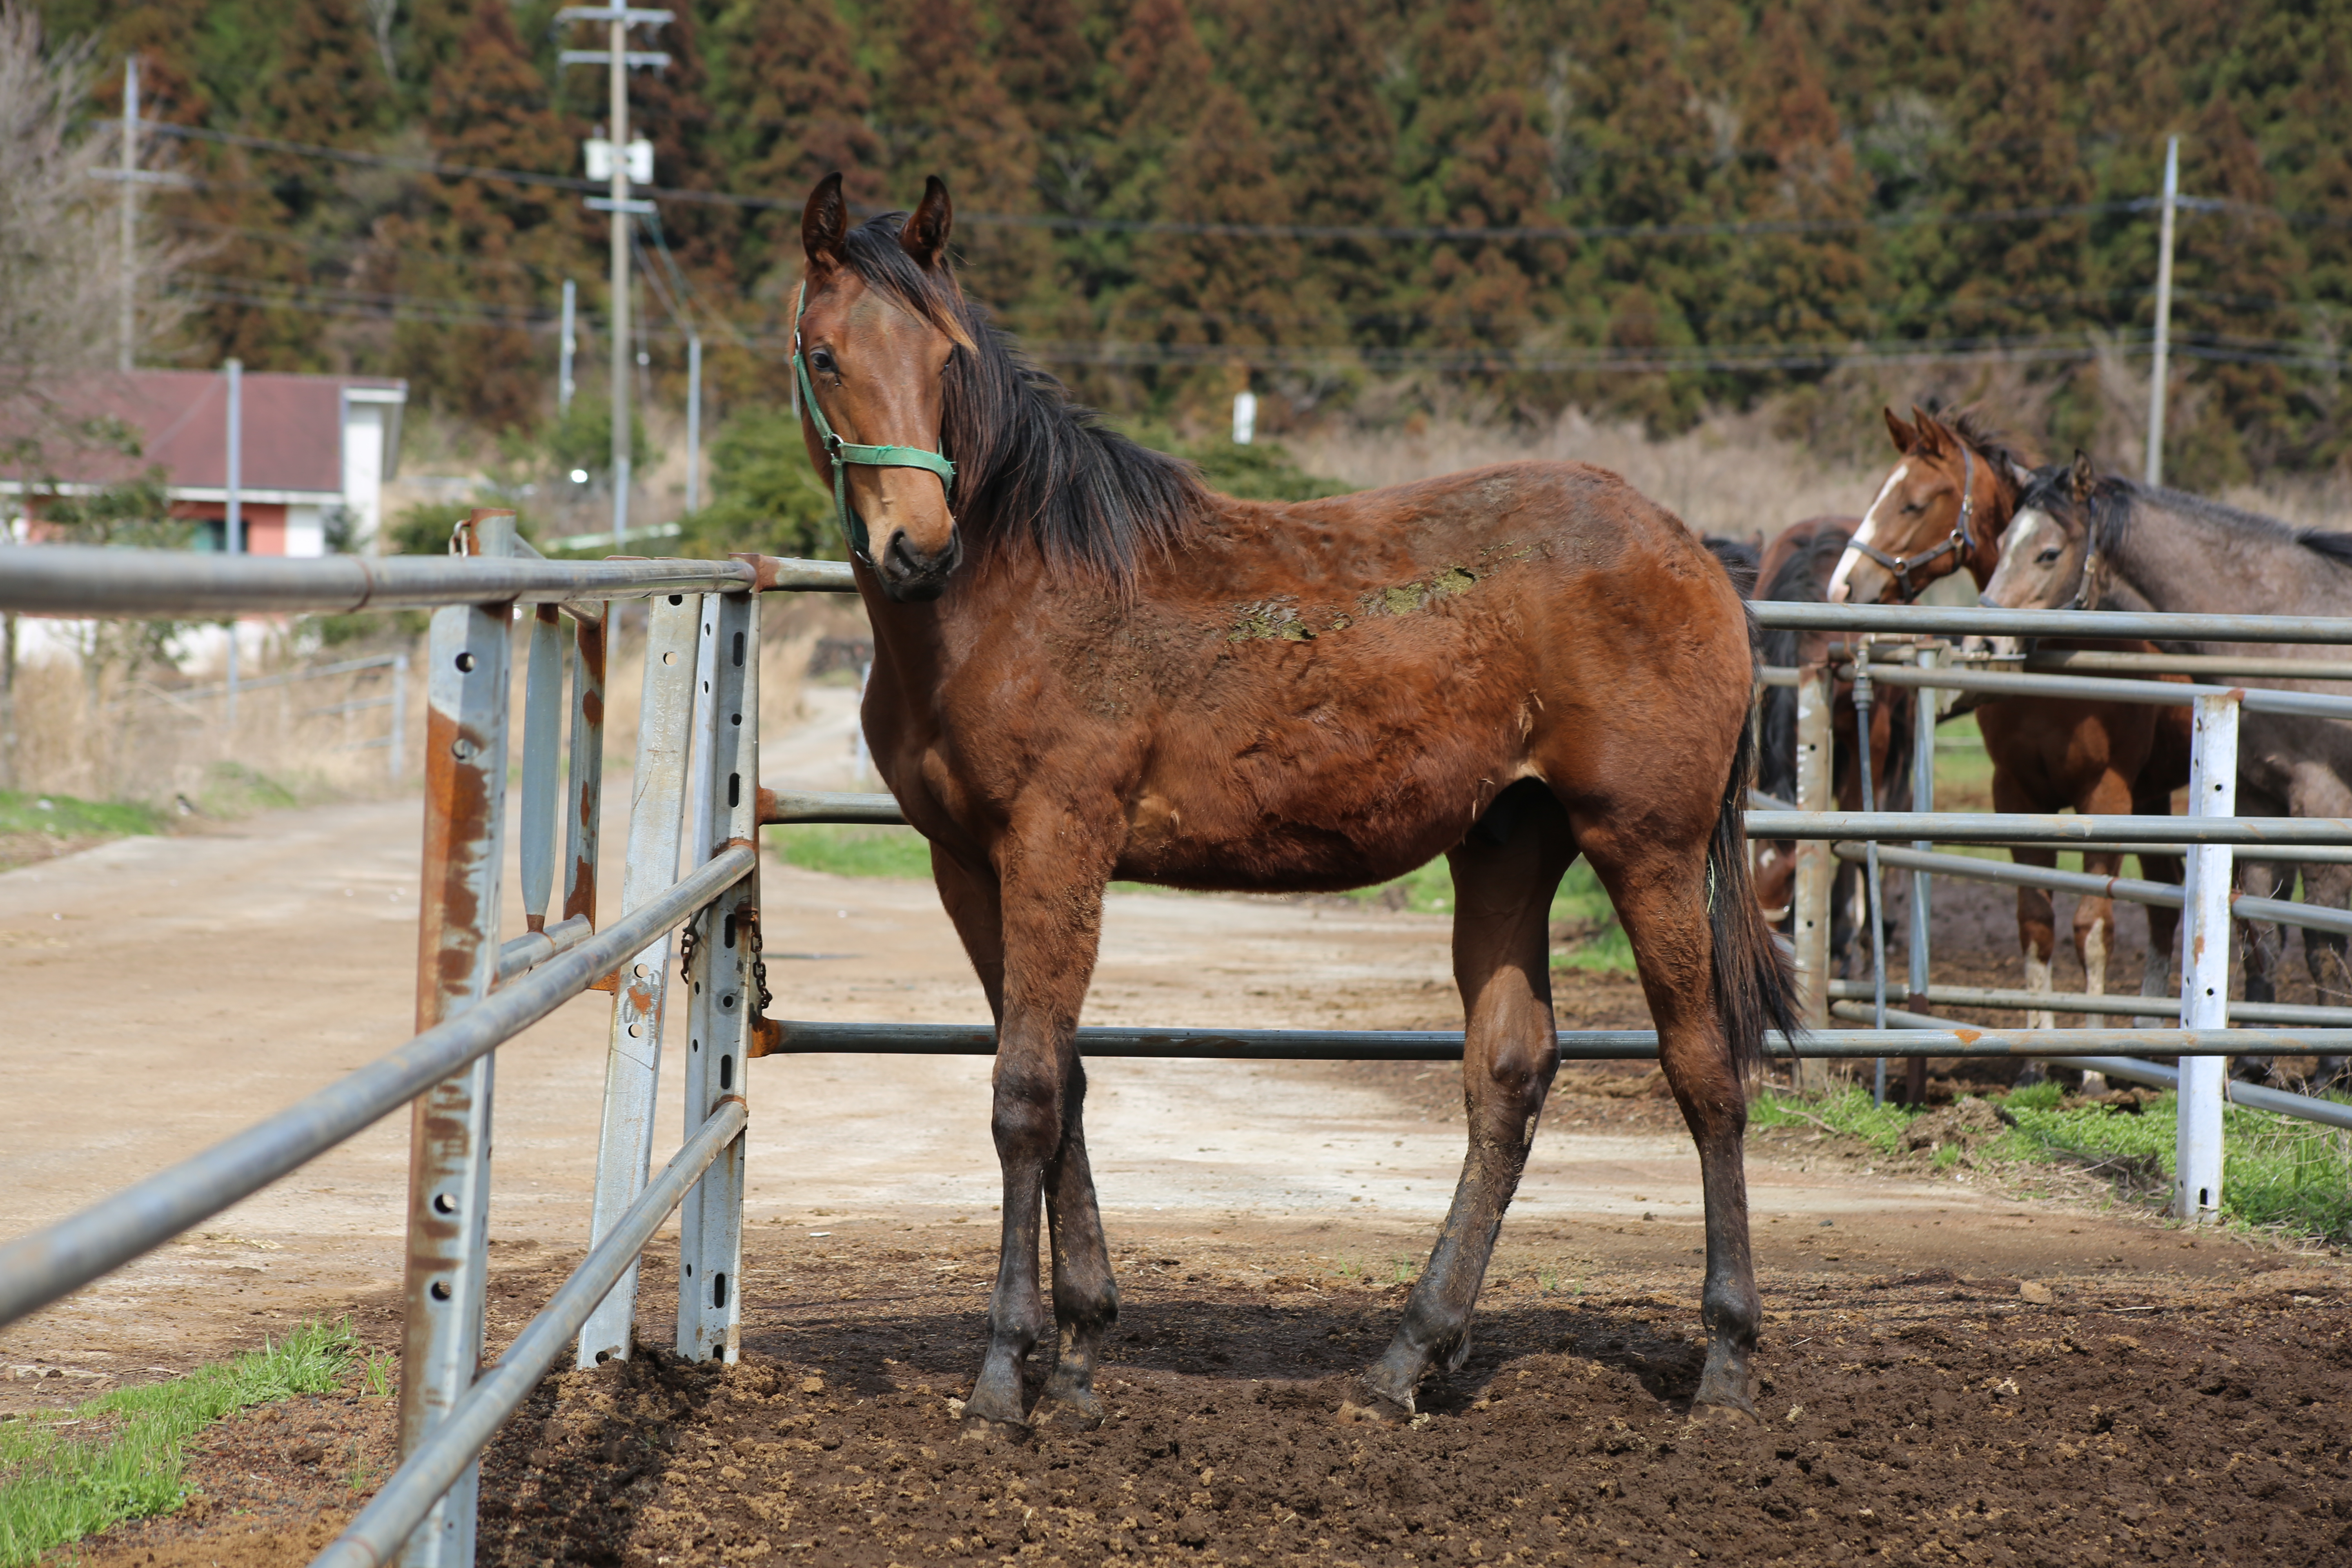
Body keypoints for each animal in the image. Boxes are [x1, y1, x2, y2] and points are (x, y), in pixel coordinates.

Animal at [790, 175, 1797, 1439]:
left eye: (944, 357)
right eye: (825, 355)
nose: (918, 549)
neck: (1013, 592)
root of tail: (1693, 553)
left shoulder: (1056, 843)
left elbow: (1023, 1095)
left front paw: (1003, 1376)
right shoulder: (969, 865)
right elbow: (1063, 1081)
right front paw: (1079, 1354)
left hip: (1646, 845)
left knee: (1705, 1070)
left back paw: (1725, 1363)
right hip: (1508, 845)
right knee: (1508, 1076)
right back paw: (1406, 1358)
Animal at [1815, 411, 2183, 1044]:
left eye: (1913, 503)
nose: (1843, 586)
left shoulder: (2105, 794)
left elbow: (2093, 926)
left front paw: (2092, 1054)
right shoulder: (2018, 791)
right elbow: (2035, 923)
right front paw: (2036, 1048)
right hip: (2155, 799)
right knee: (2166, 900)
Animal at [1985, 454, 2352, 1091]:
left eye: (2048, 553)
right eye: (2003, 540)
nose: (1983, 637)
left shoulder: (2321, 802)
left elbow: (2321, 939)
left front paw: (2330, 1068)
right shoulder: (2261, 802)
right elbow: (2261, 934)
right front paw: (2254, 1062)